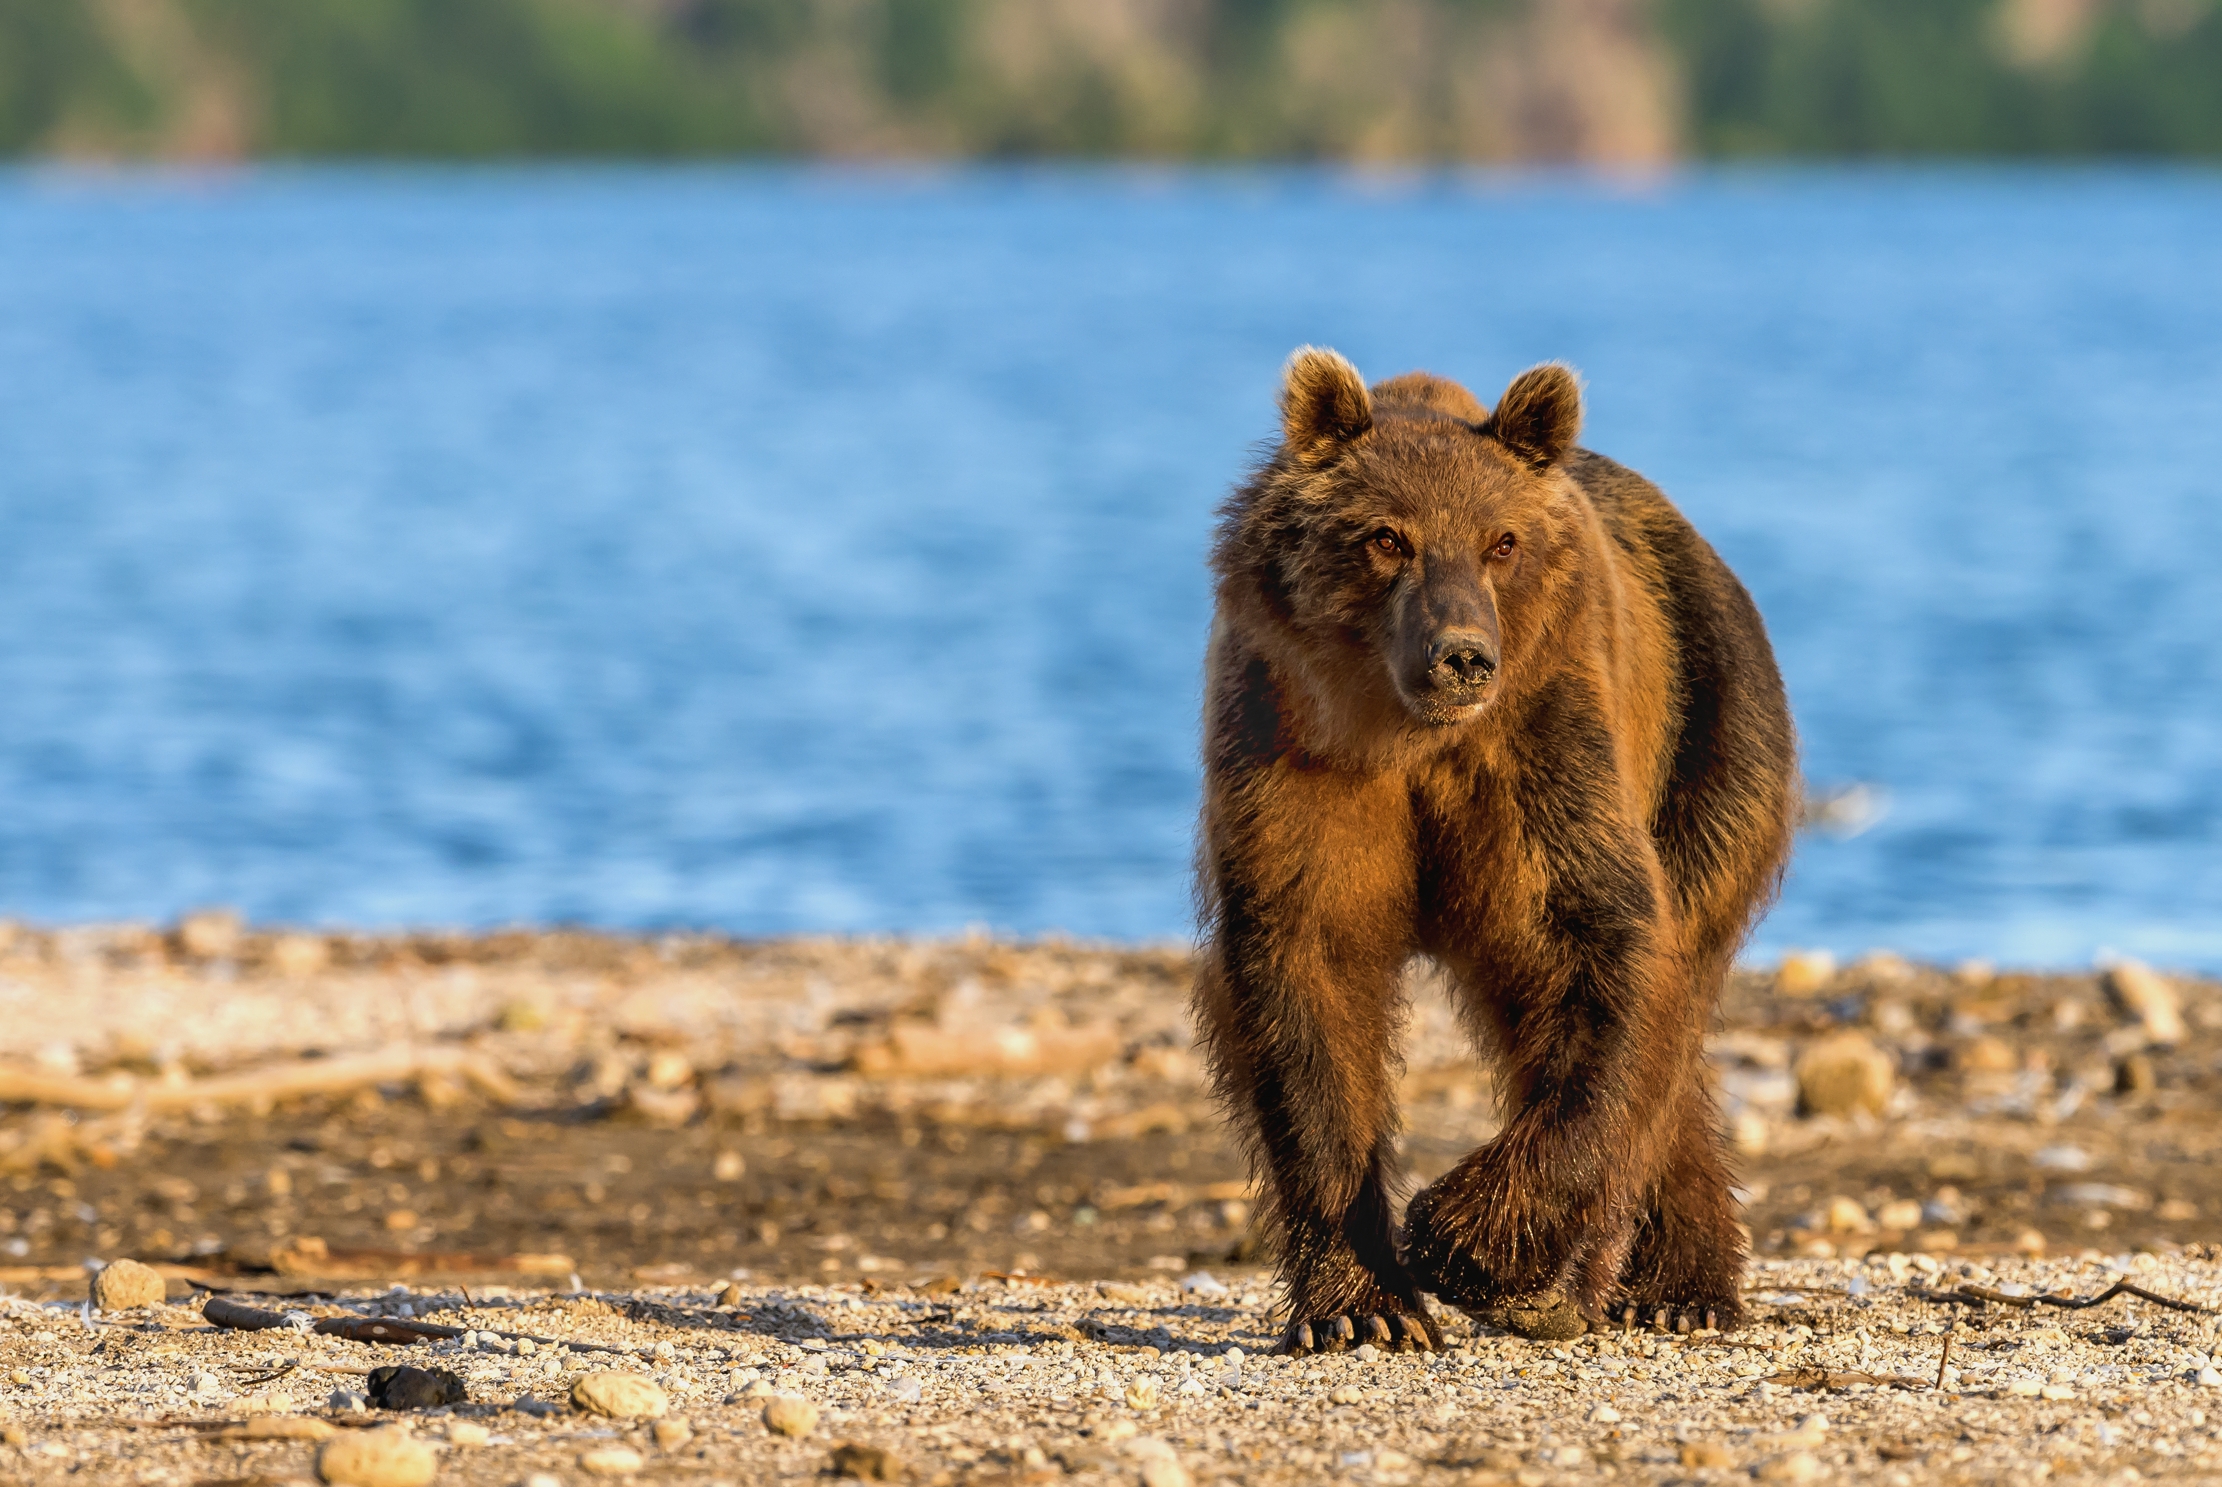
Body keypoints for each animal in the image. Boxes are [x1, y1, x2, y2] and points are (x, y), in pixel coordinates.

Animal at [1193, 348, 1797, 1352]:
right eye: (1386, 536)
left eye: (1501, 540)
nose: (1462, 655)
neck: (1405, 735)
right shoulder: (1292, 742)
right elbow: (1307, 964)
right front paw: (1362, 1307)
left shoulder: (1538, 744)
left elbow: (1599, 943)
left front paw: (1462, 1239)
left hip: (1712, 723)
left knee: (1665, 994)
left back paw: (1658, 1288)